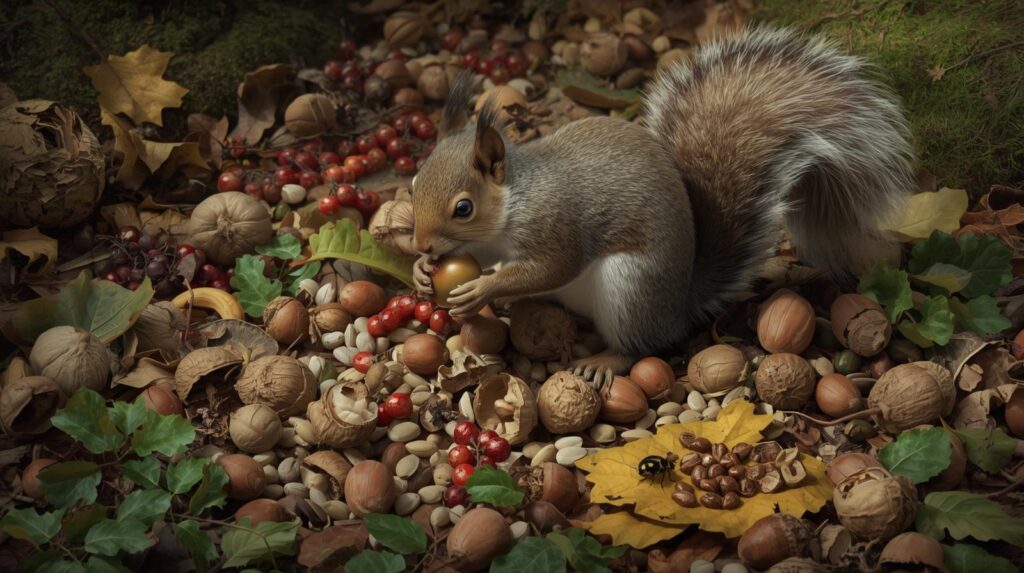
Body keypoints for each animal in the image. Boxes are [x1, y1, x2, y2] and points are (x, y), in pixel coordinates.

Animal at [409, 26, 915, 386]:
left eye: (463, 208)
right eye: (413, 181)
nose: (421, 244)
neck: (514, 201)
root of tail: (679, 303)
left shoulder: (556, 223)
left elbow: (553, 265)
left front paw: (485, 288)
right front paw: (420, 271)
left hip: (631, 289)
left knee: (644, 344)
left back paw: (605, 360)